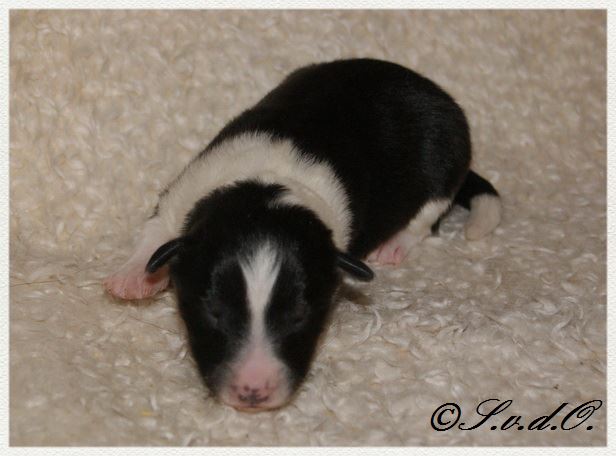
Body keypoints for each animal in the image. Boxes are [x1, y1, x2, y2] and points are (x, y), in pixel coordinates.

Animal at [105, 58, 501, 411]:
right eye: (214, 311)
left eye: (298, 316)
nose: (252, 392)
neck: (264, 188)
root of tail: (430, 89)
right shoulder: (182, 193)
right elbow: (156, 230)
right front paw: (134, 276)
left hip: (444, 159)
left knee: (428, 212)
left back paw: (395, 244)